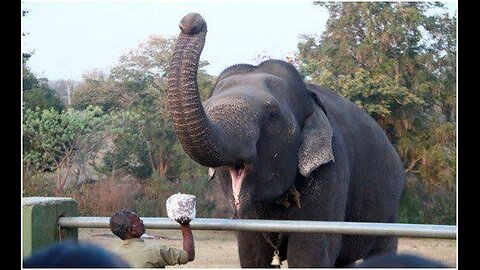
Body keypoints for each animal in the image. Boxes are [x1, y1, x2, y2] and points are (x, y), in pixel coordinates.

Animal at [165, 11, 404, 266]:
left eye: (272, 114)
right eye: (208, 107)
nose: (191, 22)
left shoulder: (332, 171)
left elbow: (309, 255)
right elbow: (252, 255)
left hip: (389, 210)